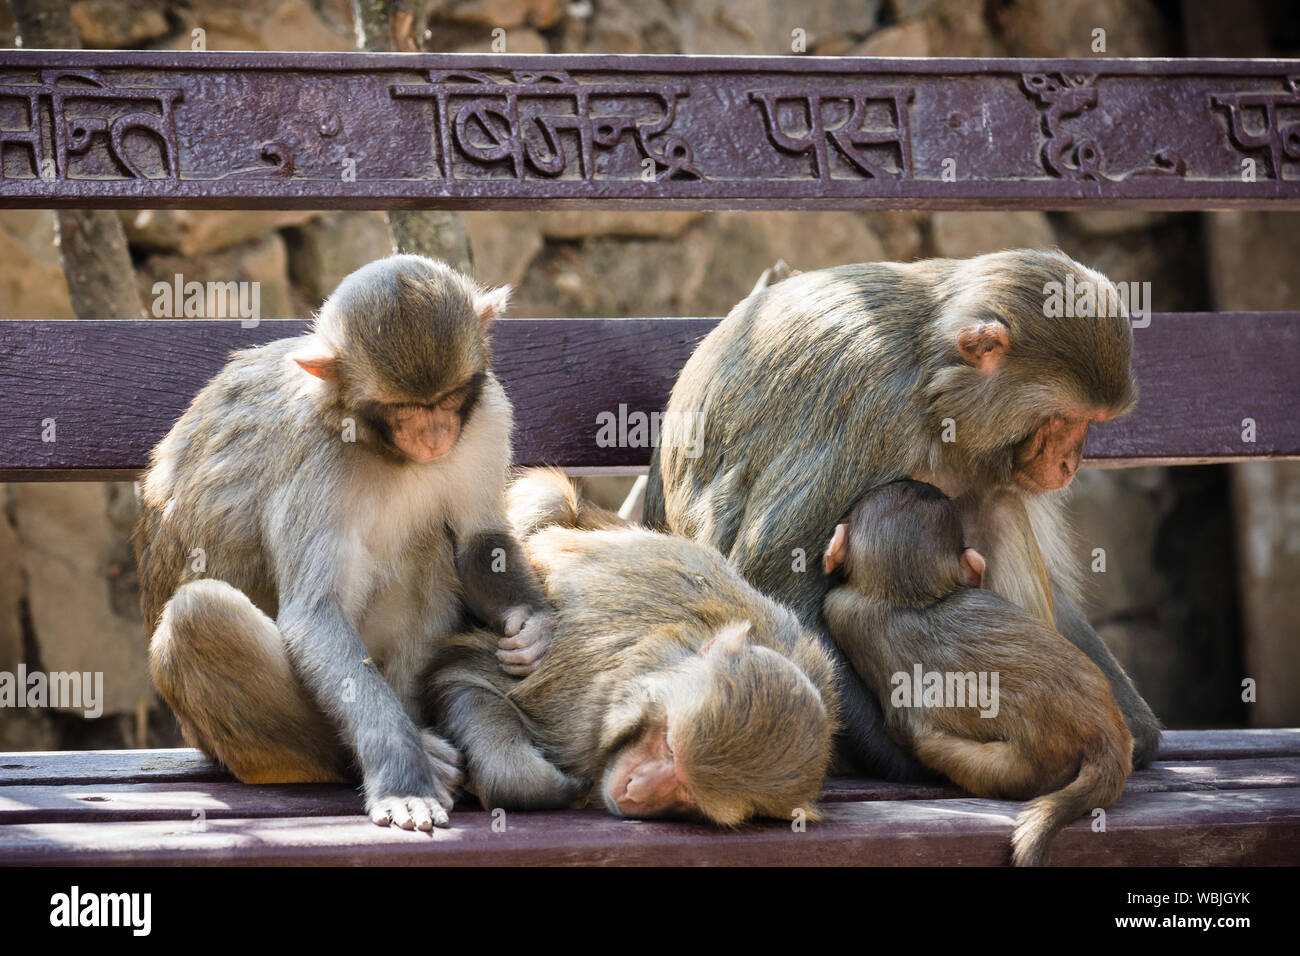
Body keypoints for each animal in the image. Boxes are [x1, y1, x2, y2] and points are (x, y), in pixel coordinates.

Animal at [136, 254, 555, 830]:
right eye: (402, 409)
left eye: (447, 399)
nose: (434, 437)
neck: (381, 445)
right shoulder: (318, 456)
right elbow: (315, 614)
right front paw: (403, 777)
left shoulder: (486, 415)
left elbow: (479, 541)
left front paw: (532, 623)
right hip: (227, 747)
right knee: (202, 615)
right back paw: (408, 754)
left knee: (428, 548)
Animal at [644, 249, 1161, 779]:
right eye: (1062, 420)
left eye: (1090, 422)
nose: (1069, 463)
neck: (929, 375)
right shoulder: (872, 412)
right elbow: (776, 584)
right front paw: (912, 762)